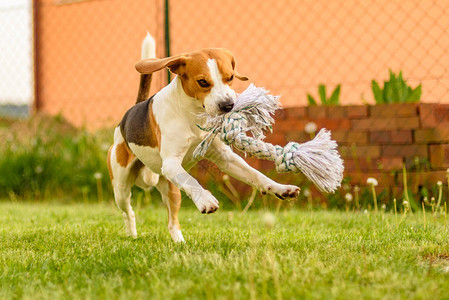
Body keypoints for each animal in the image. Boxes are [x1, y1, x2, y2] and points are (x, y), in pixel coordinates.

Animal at [107, 34, 300, 243]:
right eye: (203, 82)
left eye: (230, 77)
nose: (228, 105)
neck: (193, 114)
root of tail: (127, 117)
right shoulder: (172, 163)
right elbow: (192, 181)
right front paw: (206, 200)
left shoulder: (225, 158)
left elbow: (256, 175)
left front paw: (280, 188)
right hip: (121, 187)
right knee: (129, 211)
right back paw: (132, 234)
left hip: (171, 188)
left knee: (172, 222)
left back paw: (179, 243)